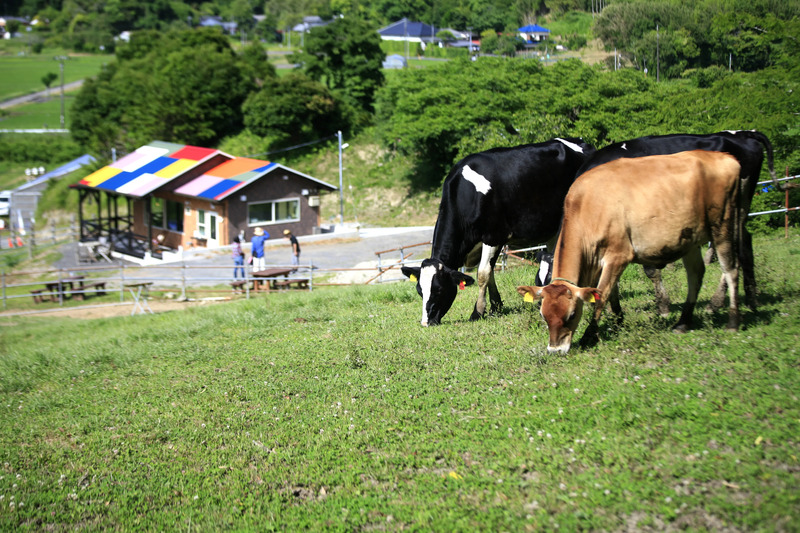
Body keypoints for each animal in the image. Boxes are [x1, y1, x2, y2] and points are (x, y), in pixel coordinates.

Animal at [401, 138, 595, 326]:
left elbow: (483, 274)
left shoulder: (493, 236)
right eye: (419, 290)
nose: (426, 322)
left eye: (439, 289)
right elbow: (491, 272)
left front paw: (477, 312)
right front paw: (496, 306)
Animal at [517, 150, 743, 353]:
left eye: (571, 315)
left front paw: (590, 335)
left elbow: (603, 295)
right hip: (689, 239)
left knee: (731, 270)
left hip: (723, 225)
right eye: (544, 315)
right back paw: (683, 322)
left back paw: (732, 321)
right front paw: (618, 320)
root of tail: (726, 157)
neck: (589, 205)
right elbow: (610, 291)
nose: (555, 350)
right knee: (695, 274)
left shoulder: (619, 255)